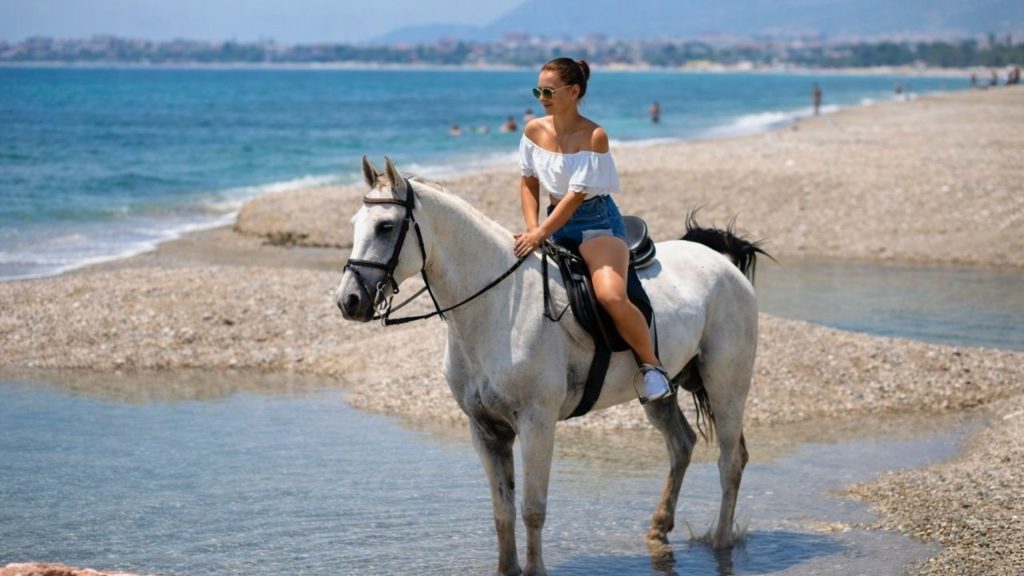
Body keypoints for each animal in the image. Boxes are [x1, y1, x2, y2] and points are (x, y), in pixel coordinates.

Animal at [336, 157, 762, 576]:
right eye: (355, 225)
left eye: (386, 226)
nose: (349, 300)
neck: (497, 306)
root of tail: (719, 263)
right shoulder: (485, 430)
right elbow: (502, 512)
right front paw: (507, 568)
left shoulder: (536, 423)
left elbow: (532, 509)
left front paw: (535, 568)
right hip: (662, 390)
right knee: (681, 445)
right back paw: (658, 529)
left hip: (725, 385)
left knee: (730, 461)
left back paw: (721, 541)